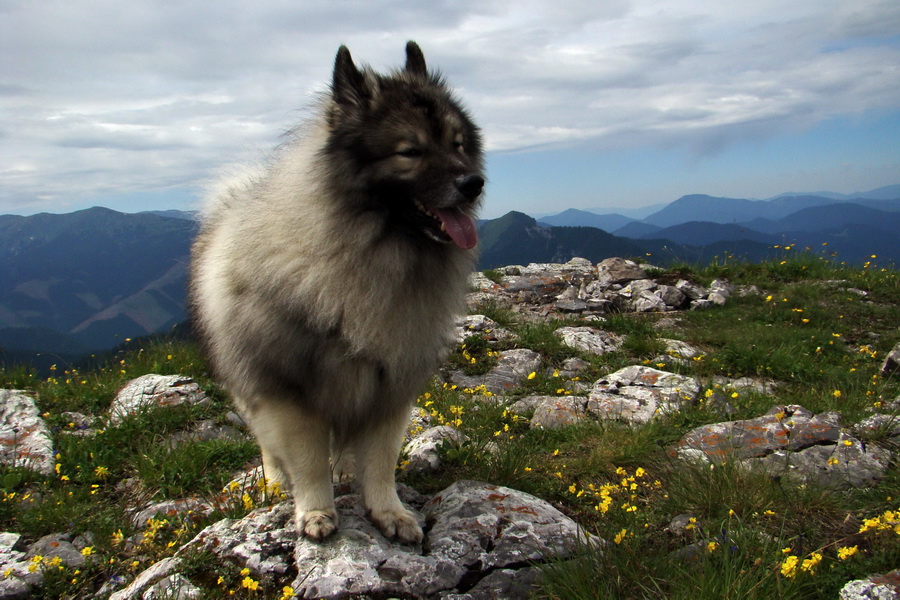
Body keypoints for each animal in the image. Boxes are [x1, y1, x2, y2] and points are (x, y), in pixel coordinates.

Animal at [190, 39, 486, 540]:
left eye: (457, 144)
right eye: (410, 151)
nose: (473, 182)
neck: (369, 254)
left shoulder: (389, 385)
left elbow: (380, 460)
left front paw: (388, 511)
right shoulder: (292, 390)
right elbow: (307, 461)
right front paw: (315, 511)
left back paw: (346, 471)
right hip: (249, 382)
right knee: (268, 443)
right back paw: (276, 482)